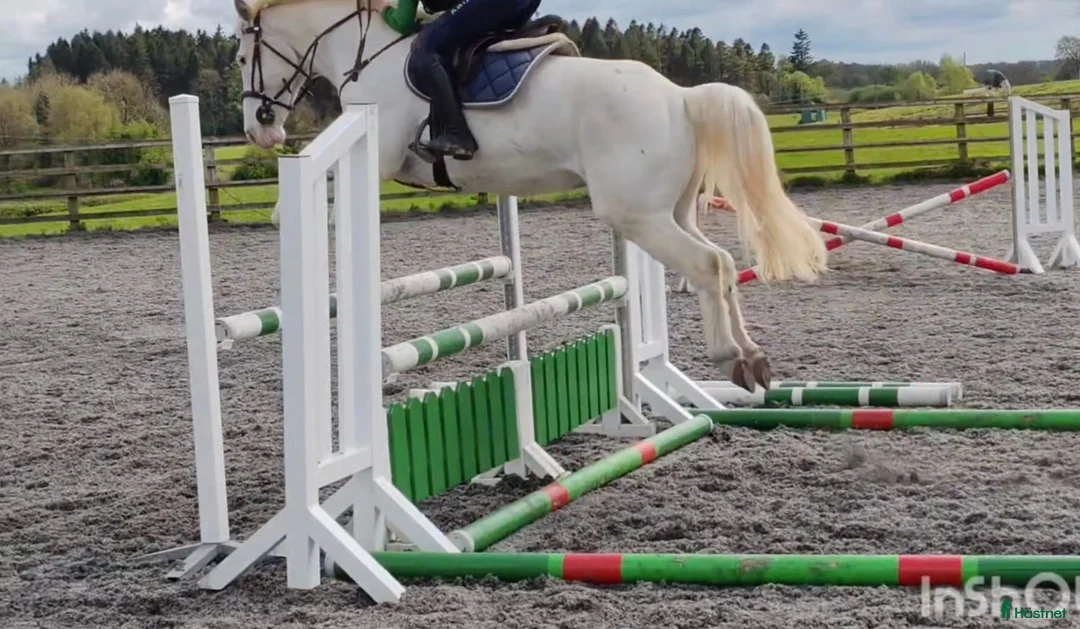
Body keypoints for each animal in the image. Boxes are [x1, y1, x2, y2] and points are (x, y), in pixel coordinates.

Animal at [232, 0, 829, 392]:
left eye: (240, 58)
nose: (262, 132)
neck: (367, 53)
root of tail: (681, 97)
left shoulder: (376, 157)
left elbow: (306, 209)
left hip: (635, 214)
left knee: (707, 265)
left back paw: (729, 355)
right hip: (670, 211)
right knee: (724, 263)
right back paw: (752, 357)